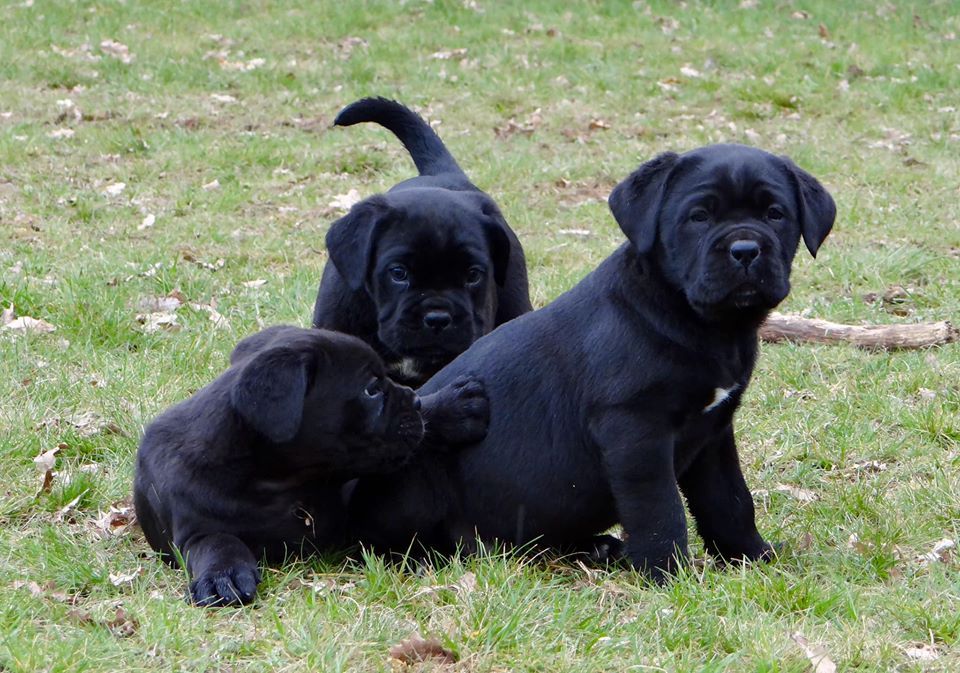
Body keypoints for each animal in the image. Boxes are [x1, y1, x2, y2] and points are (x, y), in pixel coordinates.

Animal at [133, 326, 488, 604]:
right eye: (371, 389)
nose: (414, 399)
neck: (274, 483)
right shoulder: (196, 531)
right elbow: (219, 543)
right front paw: (224, 575)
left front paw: (448, 408)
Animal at [348, 144, 836, 580]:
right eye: (699, 217)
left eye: (775, 214)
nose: (746, 249)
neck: (700, 322)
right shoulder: (635, 430)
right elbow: (659, 507)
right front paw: (665, 573)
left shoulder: (714, 432)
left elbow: (730, 499)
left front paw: (751, 556)